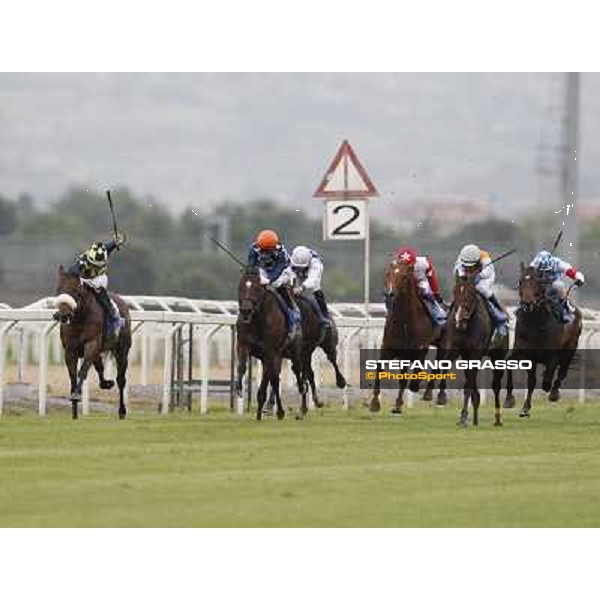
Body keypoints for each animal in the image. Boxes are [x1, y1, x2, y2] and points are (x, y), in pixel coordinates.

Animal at [53, 264, 131, 420]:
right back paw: (106, 383)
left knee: (121, 379)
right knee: (100, 367)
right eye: (59, 290)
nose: (63, 316)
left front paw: (76, 395)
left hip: (122, 350)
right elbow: (72, 375)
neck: (80, 318)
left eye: (76, 291)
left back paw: (122, 410)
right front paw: (74, 413)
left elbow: (82, 371)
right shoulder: (70, 350)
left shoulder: (91, 344)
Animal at [236, 264, 308, 420]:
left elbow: (264, 384)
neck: (257, 320)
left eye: (257, 288)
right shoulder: (243, 345)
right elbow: (242, 367)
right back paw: (280, 411)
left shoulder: (269, 352)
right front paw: (238, 387)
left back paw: (302, 397)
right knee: (275, 379)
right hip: (275, 356)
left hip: (294, 350)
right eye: (240, 287)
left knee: (297, 372)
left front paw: (259, 413)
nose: (246, 310)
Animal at [368, 258, 448, 418]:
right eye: (388, 273)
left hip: (445, 344)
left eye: (404, 276)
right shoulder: (388, 348)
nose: (390, 293)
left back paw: (437, 396)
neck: (404, 322)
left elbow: (412, 378)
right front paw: (375, 404)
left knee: (442, 365)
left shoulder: (420, 350)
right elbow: (381, 370)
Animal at [442, 276, 508, 426]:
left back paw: (497, 419)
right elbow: (444, 367)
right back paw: (475, 419)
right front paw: (441, 397)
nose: (459, 318)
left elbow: (468, 385)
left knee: (496, 386)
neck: (466, 326)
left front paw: (463, 416)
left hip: (498, 356)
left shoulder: (475, 352)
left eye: (471, 294)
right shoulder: (455, 349)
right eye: (455, 292)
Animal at [508, 268, 584, 418]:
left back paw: (554, 393)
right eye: (521, 282)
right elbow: (529, 380)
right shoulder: (526, 353)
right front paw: (516, 403)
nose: (527, 303)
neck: (535, 324)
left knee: (562, 372)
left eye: (537, 282)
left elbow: (547, 380)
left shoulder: (553, 355)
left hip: (570, 348)